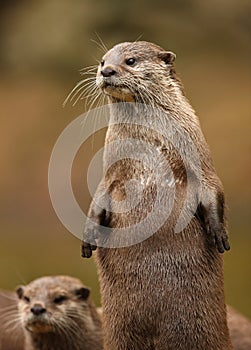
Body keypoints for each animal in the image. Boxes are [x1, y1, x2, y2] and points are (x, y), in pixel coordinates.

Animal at [80, 40, 233, 348]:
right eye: (102, 60)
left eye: (131, 60)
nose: (106, 70)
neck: (148, 151)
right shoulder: (110, 176)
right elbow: (97, 200)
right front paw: (88, 238)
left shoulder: (201, 162)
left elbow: (212, 188)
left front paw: (217, 232)